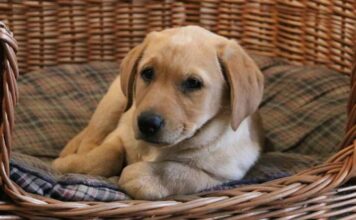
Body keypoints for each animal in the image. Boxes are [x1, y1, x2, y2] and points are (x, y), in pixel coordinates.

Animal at [52, 25, 264, 199]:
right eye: (147, 72)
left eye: (193, 83)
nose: (147, 123)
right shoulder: (120, 134)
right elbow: (106, 155)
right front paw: (66, 166)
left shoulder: (223, 173)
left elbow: (179, 172)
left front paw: (140, 177)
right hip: (114, 102)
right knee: (90, 138)